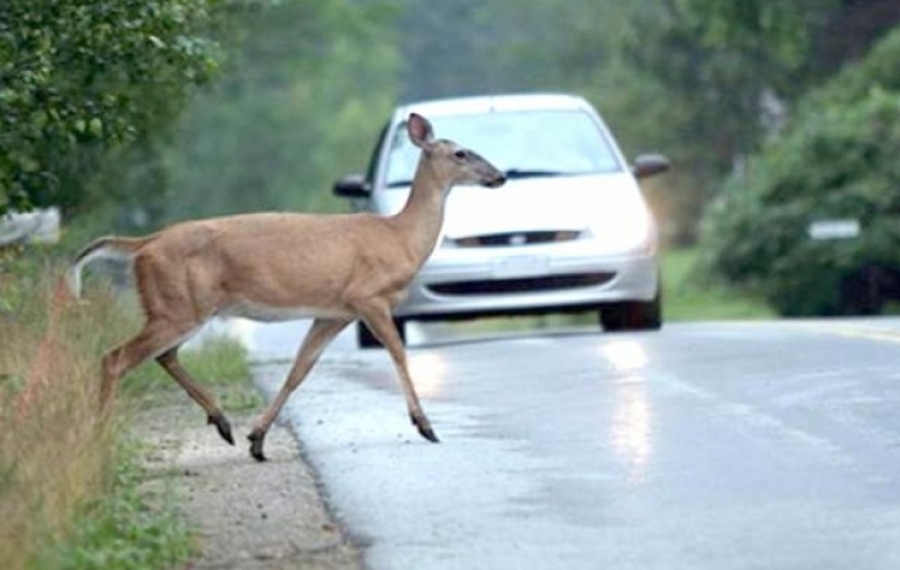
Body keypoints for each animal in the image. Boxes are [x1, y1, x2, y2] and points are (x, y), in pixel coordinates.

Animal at [65, 113, 506, 461]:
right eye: (461, 153)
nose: (499, 176)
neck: (400, 236)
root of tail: (144, 244)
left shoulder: (333, 312)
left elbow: (300, 369)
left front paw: (257, 438)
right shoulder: (368, 296)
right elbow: (398, 352)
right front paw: (425, 426)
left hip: (181, 307)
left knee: (163, 355)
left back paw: (223, 423)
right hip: (178, 305)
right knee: (115, 358)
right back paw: (98, 436)